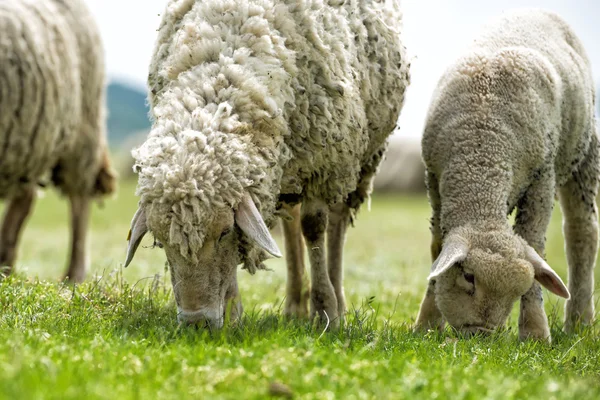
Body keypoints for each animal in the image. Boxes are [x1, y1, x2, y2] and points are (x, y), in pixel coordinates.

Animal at [0, 0, 115, 282]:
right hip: (28, 144)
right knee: (26, 197)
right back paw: (5, 262)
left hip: (83, 134)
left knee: (79, 203)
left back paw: (73, 275)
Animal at [124, 0, 410, 328]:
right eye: (161, 239)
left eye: (224, 232)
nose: (197, 323)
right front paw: (234, 312)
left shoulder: (324, 163)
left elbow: (314, 227)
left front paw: (325, 311)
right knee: (291, 224)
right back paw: (294, 305)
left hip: (355, 158)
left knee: (336, 221)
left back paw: (336, 300)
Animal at [414, 7, 596, 342]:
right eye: (468, 276)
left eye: (517, 292)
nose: (481, 334)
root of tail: (536, 9)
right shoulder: (433, 179)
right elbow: (436, 246)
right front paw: (427, 323)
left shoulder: (542, 176)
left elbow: (534, 242)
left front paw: (535, 332)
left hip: (585, 150)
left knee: (582, 234)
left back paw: (580, 322)